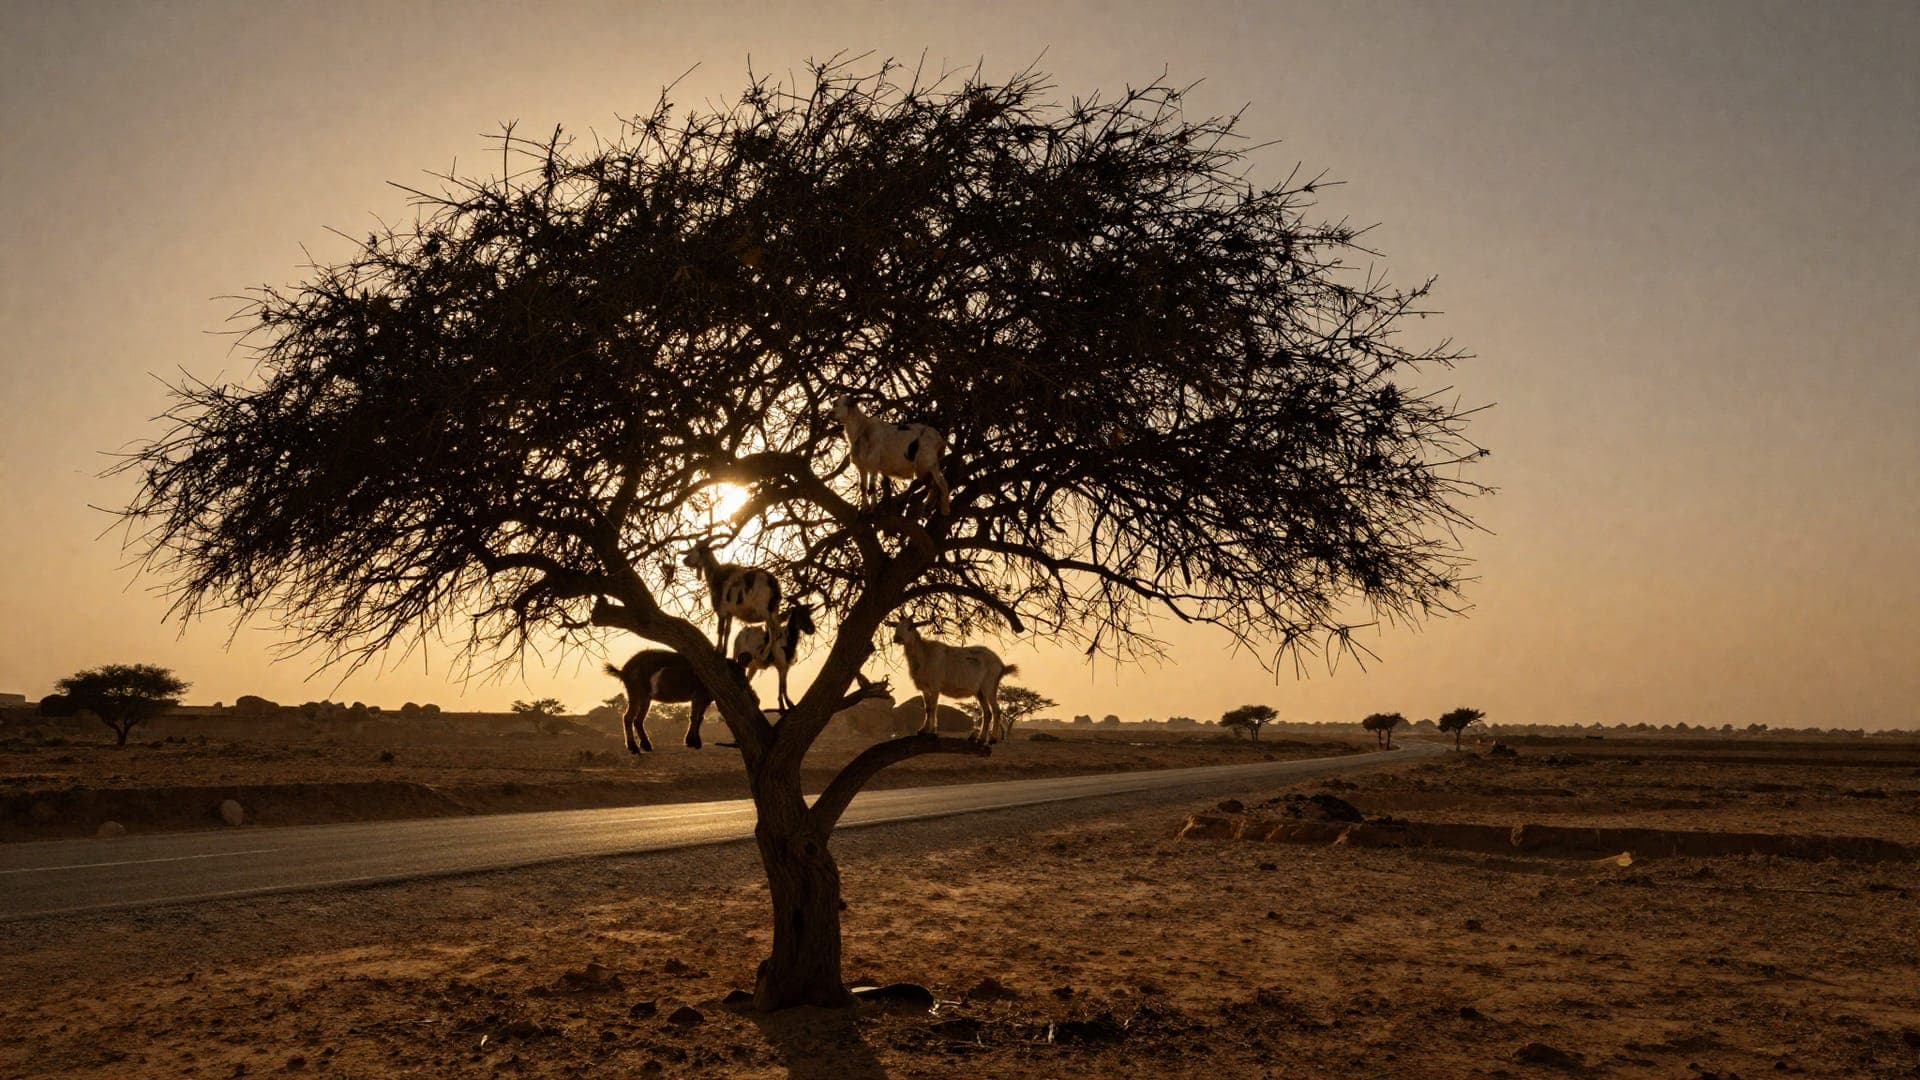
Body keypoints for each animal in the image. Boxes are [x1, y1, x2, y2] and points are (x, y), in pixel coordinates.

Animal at [603, 650, 756, 753]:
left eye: (743, 671)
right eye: (733, 673)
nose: (753, 696)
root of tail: (623, 670)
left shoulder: (705, 700)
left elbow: (700, 718)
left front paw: (695, 742)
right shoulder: (697, 696)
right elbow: (694, 717)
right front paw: (691, 741)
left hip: (646, 698)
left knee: (638, 720)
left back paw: (646, 745)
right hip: (636, 694)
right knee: (628, 717)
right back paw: (633, 747)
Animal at [889, 617, 1018, 743]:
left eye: (910, 627)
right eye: (896, 626)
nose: (896, 638)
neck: (924, 654)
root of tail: (1001, 665)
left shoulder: (935, 687)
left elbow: (933, 708)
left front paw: (931, 732)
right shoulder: (924, 688)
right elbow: (927, 708)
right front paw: (922, 730)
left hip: (989, 687)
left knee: (996, 710)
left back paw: (992, 739)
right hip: (979, 692)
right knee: (987, 713)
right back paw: (980, 739)